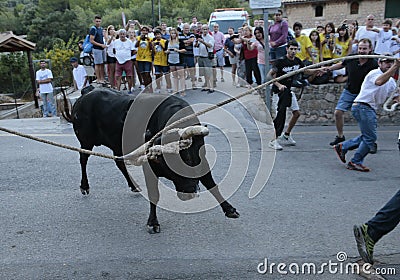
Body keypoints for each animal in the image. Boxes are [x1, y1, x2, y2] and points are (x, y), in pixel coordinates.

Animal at [65, 88, 239, 233]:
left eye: (189, 158)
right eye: (162, 161)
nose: (188, 194)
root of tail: (87, 93)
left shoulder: (203, 161)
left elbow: (211, 184)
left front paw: (229, 209)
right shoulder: (149, 167)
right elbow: (154, 194)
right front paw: (153, 223)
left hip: (116, 145)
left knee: (119, 162)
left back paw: (133, 186)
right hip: (86, 141)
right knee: (83, 158)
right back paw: (84, 186)